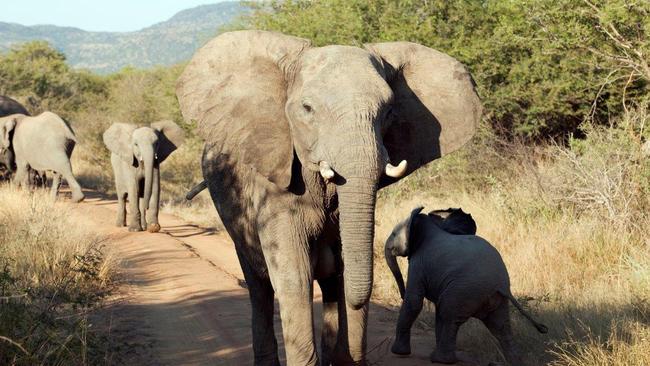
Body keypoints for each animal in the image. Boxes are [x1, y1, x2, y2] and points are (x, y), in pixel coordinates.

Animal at [177, 31, 480, 366]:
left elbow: (346, 269)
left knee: (331, 283)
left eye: (389, 111)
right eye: (307, 108)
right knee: (259, 285)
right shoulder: (273, 186)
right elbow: (295, 277)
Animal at [384, 207, 548, 364]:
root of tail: (501, 285)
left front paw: (398, 352)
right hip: (493, 299)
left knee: (449, 316)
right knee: (500, 327)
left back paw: (441, 360)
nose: (401, 294)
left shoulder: (419, 264)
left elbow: (414, 302)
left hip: (464, 291)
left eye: (393, 234)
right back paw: (515, 361)